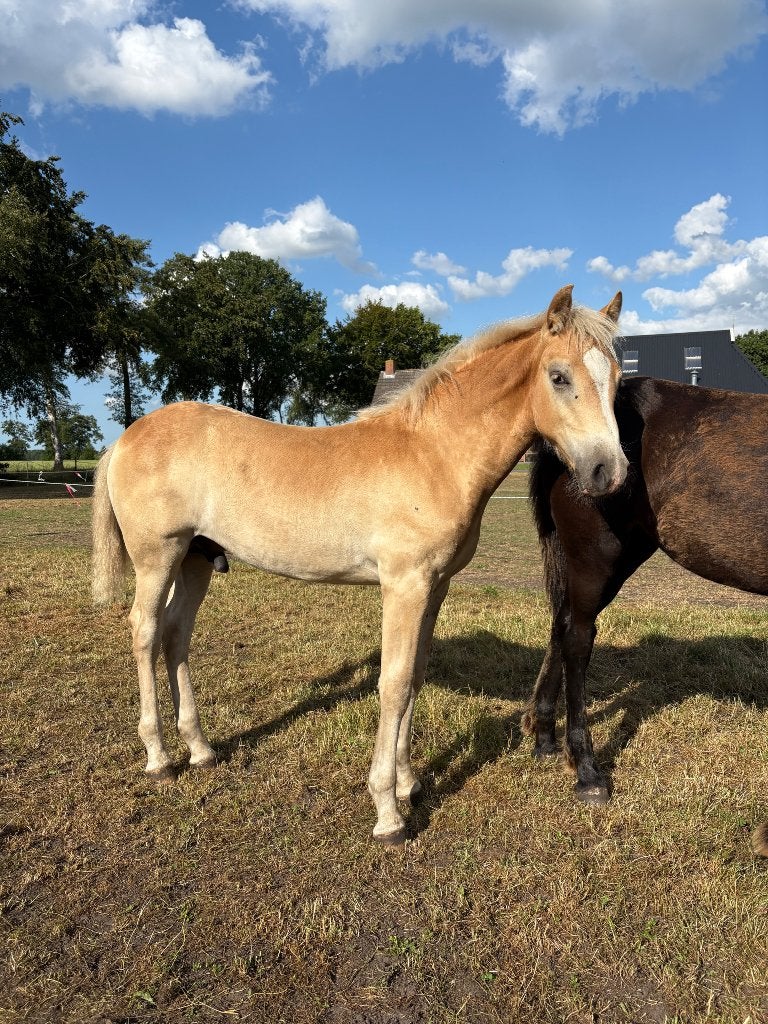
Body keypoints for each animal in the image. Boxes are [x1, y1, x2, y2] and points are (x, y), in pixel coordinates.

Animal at [92, 284, 627, 845]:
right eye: (559, 376)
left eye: (616, 378)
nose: (608, 472)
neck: (433, 454)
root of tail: (125, 437)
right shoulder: (404, 585)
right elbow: (392, 682)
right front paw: (388, 813)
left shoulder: (434, 586)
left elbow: (414, 677)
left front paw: (411, 783)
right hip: (159, 557)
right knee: (146, 630)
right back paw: (158, 758)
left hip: (195, 558)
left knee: (176, 635)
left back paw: (200, 750)